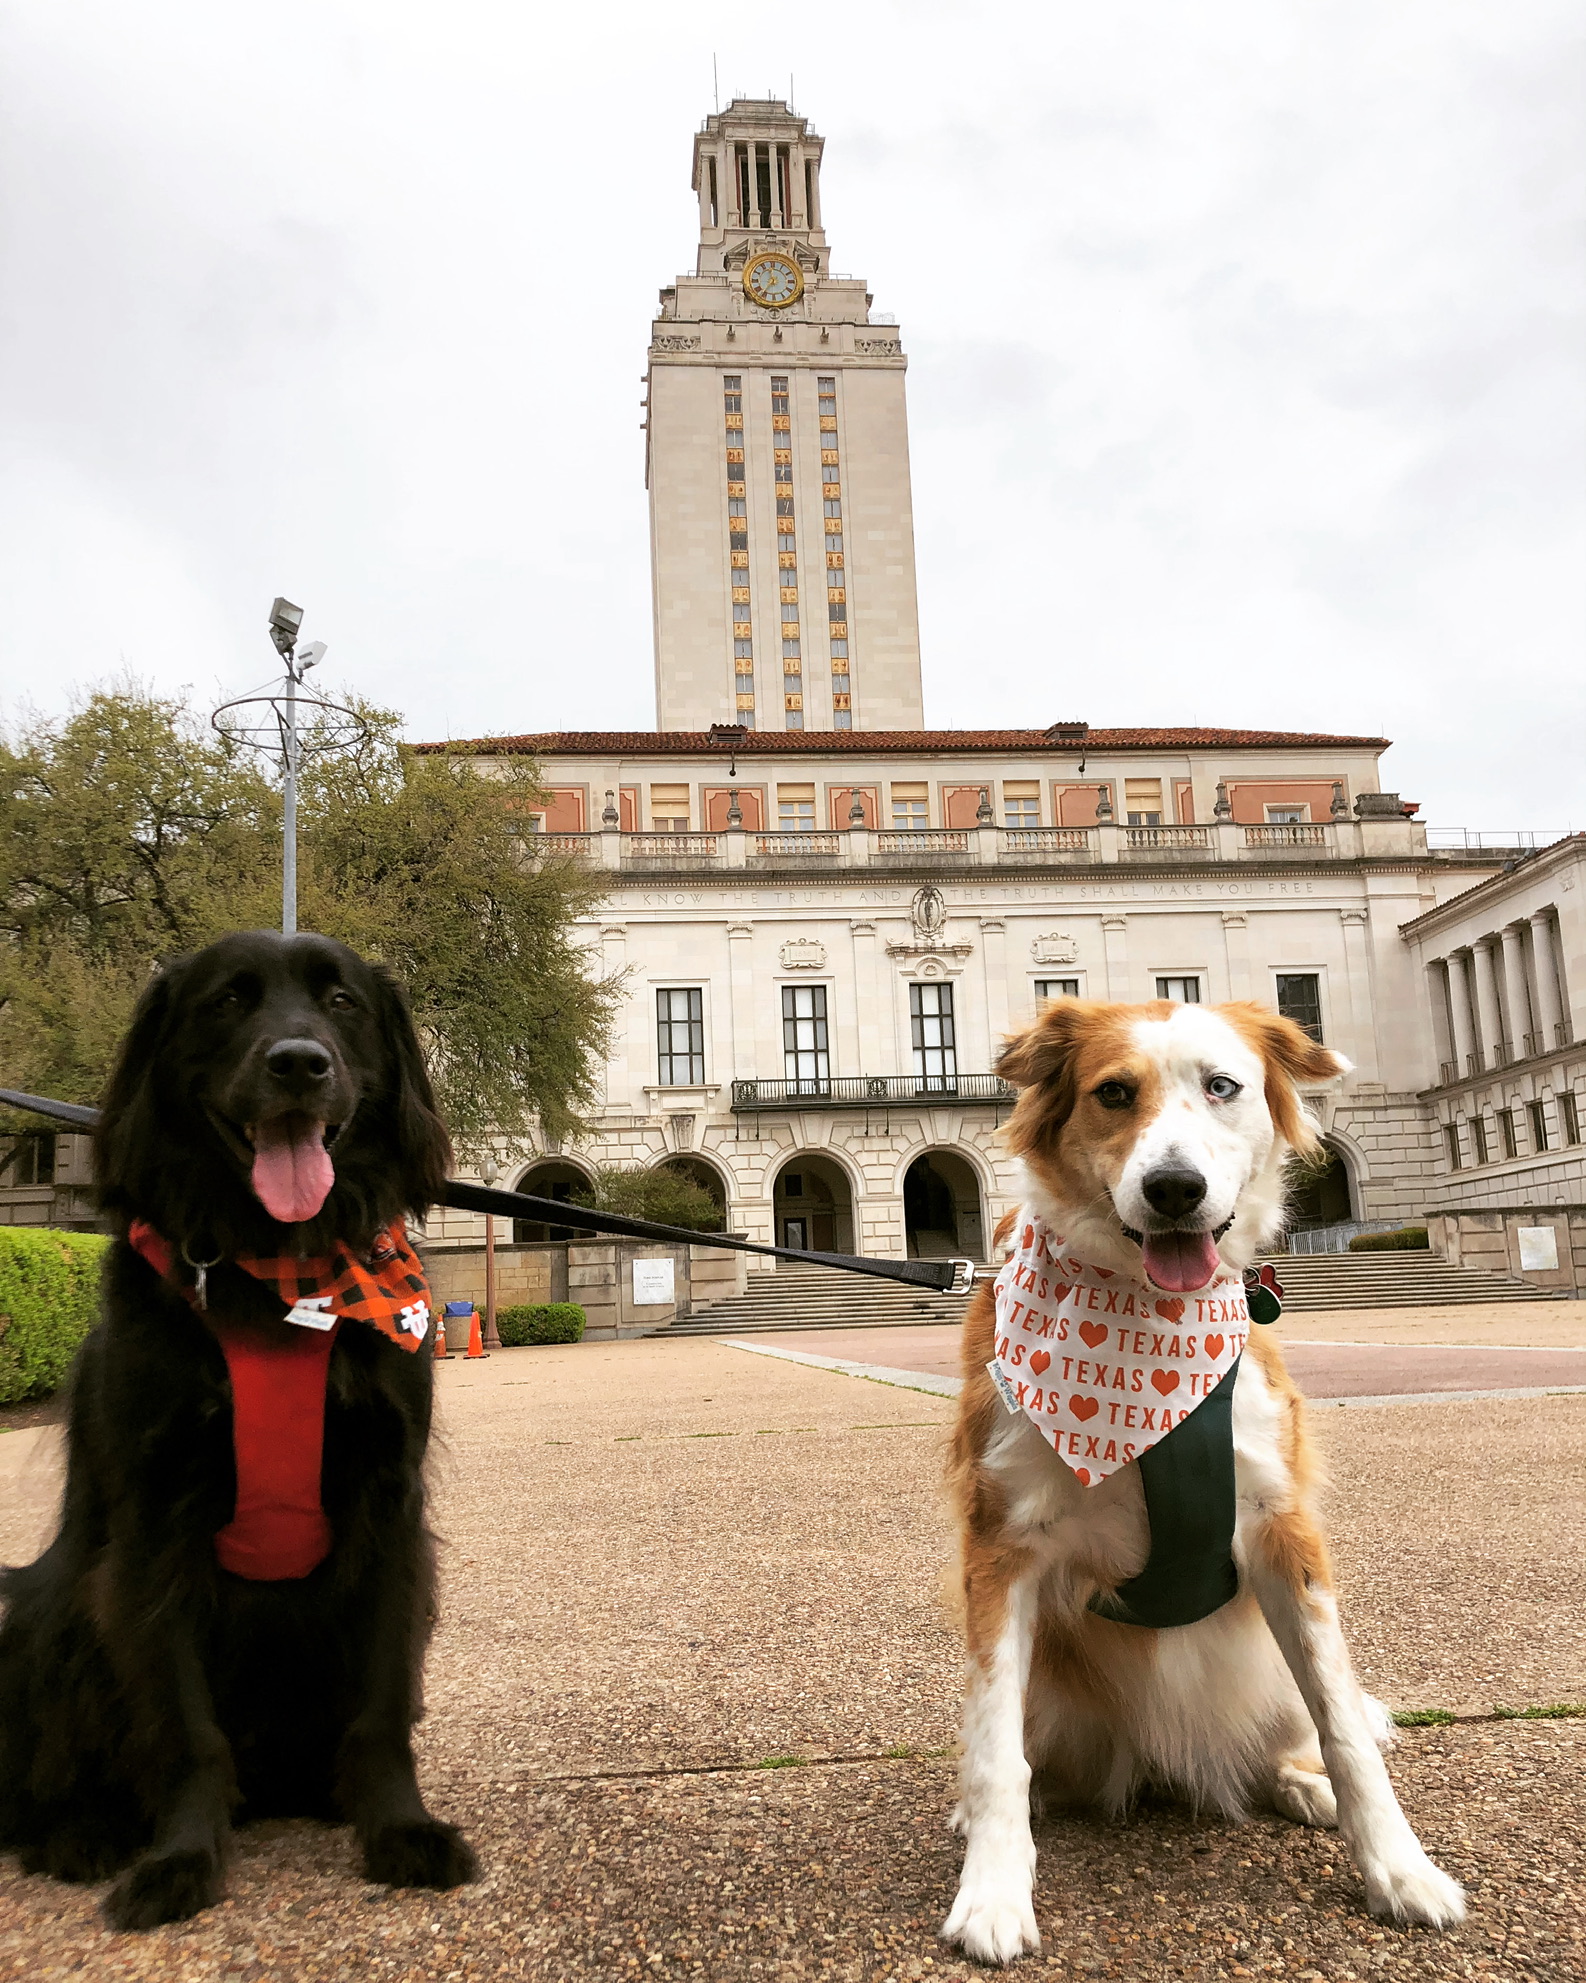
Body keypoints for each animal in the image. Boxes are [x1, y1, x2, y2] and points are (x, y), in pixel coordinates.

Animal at [0, 935, 473, 1927]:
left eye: (341, 1001)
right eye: (226, 1001)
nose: (299, 1062)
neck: (279, 1272)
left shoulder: (390, 1510)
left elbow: (384, 1704)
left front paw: (399, 1827)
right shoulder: (154, 1526)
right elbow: (184, 1725)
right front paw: (181, 1858)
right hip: (42, 1608)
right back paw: (81, 1833)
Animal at [943, 1007, 1459, 1967]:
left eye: (1223, 1085)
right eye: (1114, 1092)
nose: (1175, 1188)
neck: (1150, 1322)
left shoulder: (1284, 1533)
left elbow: (1343, 1725)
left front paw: (1400, 1869)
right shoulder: (1004, 1544)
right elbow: (996, 1750)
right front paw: (992, 1890)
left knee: (1302, 1730)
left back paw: (1300, 1783)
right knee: (1021, 1757)